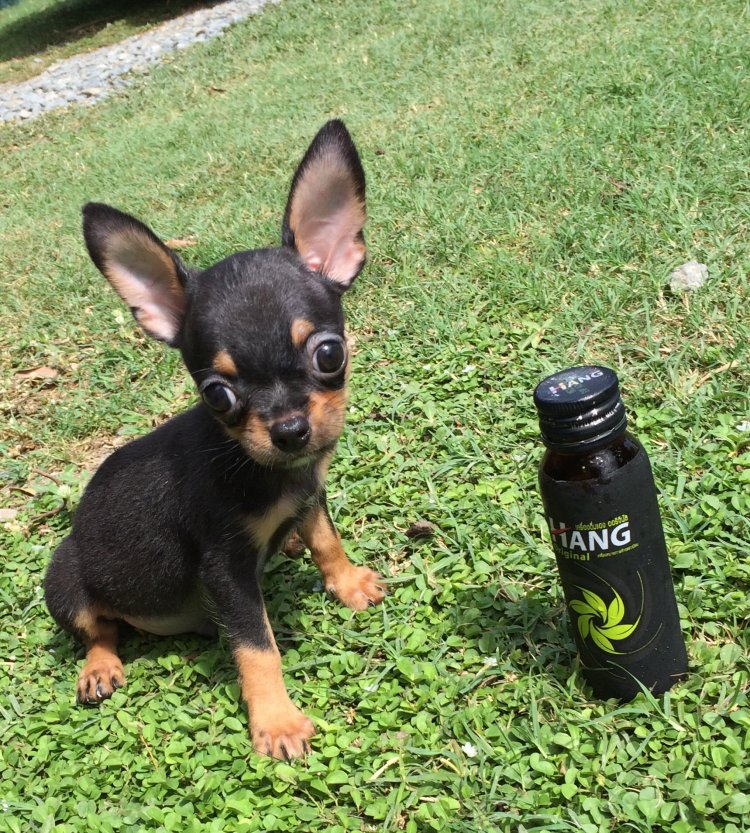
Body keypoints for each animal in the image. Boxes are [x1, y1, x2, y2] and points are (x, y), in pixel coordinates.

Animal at [44, 120, 385, 760]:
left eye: (329, 354)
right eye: (217, 396)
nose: (289, 430)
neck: (262, 470)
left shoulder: (310, 495)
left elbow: (325, 537)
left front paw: (347, 581)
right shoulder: (225, 571)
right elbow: (257, 646)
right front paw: (276, 721)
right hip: (66, 582)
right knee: (98, 628)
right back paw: (99, 667)